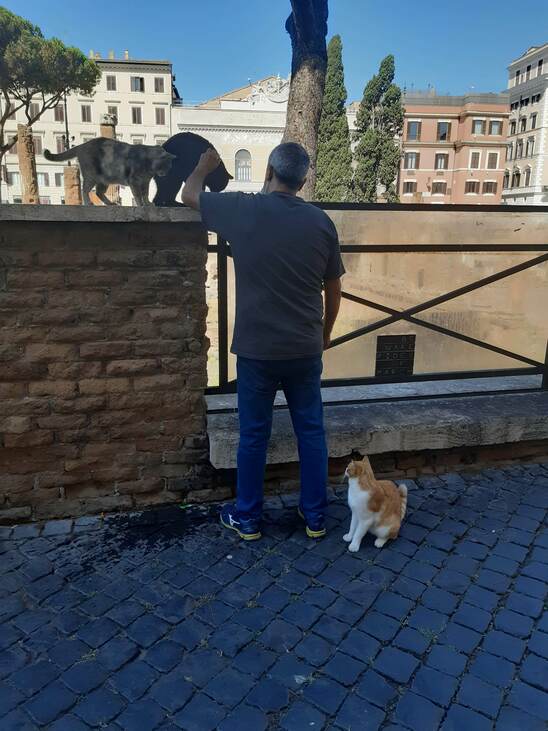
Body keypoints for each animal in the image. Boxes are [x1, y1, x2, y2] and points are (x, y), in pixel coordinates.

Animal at [45, 139, 174, 206]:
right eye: (166, 166)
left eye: (169, 167)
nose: (166, 173)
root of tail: (82, 145)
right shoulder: (134, 181)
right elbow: (138, 195)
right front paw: (141, 205)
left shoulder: (145, 182)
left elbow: (145, 194)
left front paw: (147, 203)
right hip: (91, 176)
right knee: (85, 190)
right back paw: (88, 203)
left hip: (104, 179)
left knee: (98, 192)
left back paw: (110, 203)